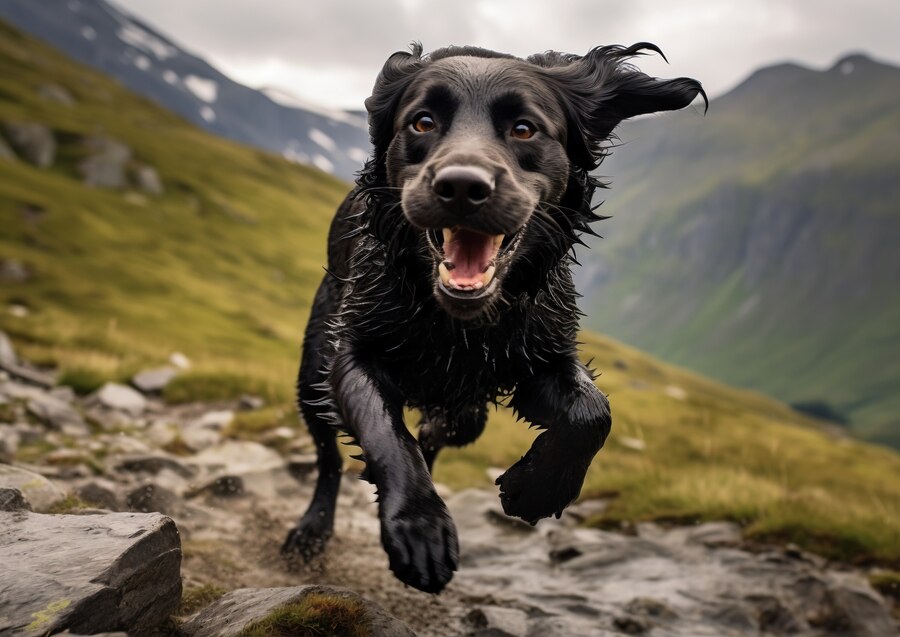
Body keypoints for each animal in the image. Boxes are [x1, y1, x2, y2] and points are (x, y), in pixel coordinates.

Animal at [282, 43, 704, 592]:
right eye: (422, 122)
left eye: (524, 129)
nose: (461, 186)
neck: (459, 320)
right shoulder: (354, 350)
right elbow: (385, 433)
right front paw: (419, 527)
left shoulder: (540, 355)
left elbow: (593, 414)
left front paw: (537, 489)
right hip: (313, 367)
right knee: (330, 457)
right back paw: (312, 532)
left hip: (467, 411)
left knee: (444, 431)